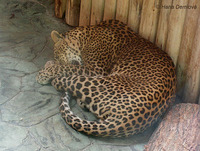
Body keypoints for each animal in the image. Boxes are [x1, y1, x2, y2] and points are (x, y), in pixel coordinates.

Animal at [36, 19, 177, 137]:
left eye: (57, 55)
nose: (54, 60)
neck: (85, 36)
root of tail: (127, 119)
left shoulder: (94, 69)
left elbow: (65, 68)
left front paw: (44, 73)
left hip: (97, 81)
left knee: (61, 81)